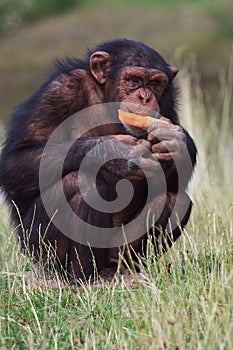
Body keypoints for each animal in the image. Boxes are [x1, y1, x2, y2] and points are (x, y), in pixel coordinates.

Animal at [0, 39, 197, 284]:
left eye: (155, 83)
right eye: (133, 80)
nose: (145, 97)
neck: (106, 99)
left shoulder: (167, 102)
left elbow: (169, 182)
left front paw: (176, 142)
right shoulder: (59, 91)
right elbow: (15, 160)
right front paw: (113, 152)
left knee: (174, 201)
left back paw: (120, 272)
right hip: (38, 252)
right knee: (79, 185)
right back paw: (79, 279)